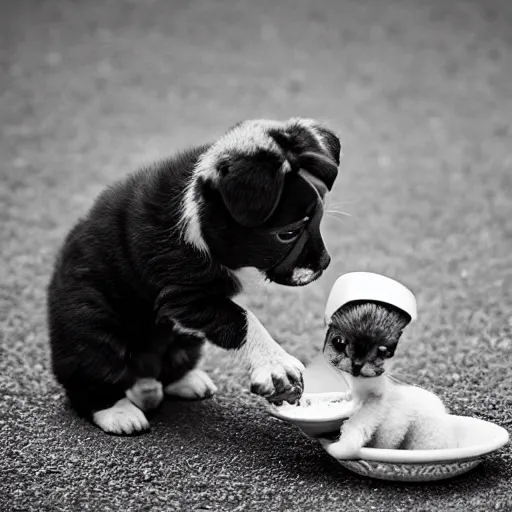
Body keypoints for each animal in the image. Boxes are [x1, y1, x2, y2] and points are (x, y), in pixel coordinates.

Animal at [48, 118, 342, 434]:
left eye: (320, 218)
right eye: (288, 234)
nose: (325, 263)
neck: (200, 214)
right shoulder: (185, 297)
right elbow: (243, 319)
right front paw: (276, 363)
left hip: (185, 342)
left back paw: (185, 382)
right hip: (91, 327)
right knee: (92, 377)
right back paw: (118, 412)